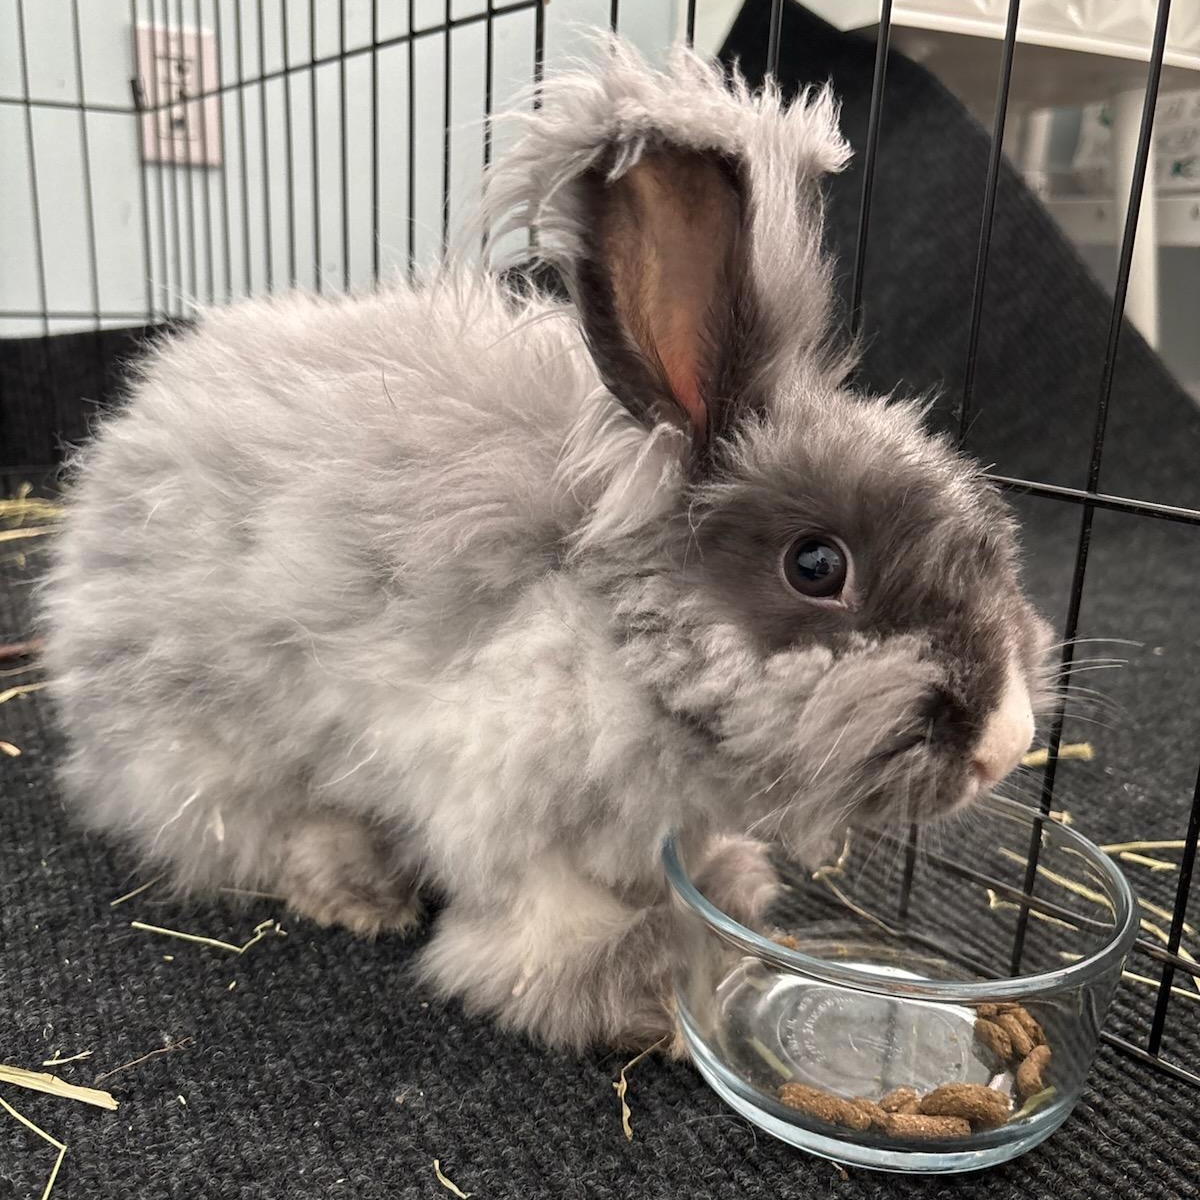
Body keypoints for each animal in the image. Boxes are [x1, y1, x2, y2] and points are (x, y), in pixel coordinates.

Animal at [40, 39, 1051, 1053]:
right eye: (816, 565)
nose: (1008, 742)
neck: (619, 642)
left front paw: (730, 891)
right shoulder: (501, 802)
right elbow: (545, 923)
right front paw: (634, 991)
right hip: (213, 747)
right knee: (245, 829)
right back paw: (357, 890)